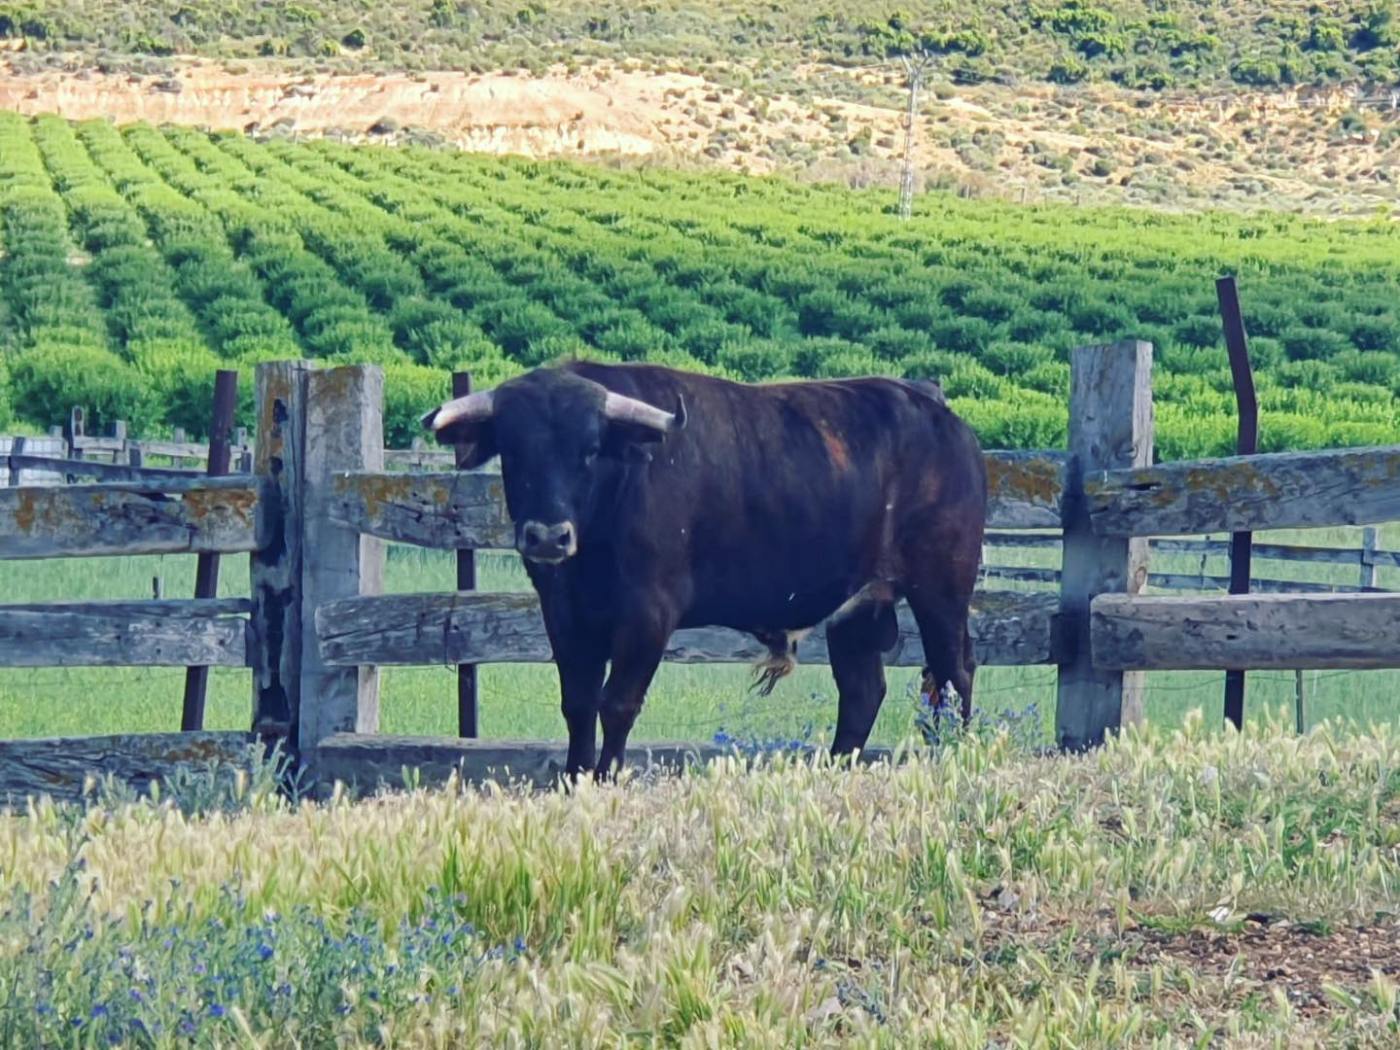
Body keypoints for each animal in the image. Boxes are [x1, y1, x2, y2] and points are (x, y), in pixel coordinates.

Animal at [421, 360, 987, 781]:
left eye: (589, 450)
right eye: (514, 450)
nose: (547, 536)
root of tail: (939, 413)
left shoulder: (648, 616)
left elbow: (617, 704)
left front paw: (606, 778)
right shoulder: (564, 616)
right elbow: (578, 705)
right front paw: (574, 778)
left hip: (941, 588)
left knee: (953, 675)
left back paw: (955, 756)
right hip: (858, 611)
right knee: (864, 692)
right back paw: (834, 770)